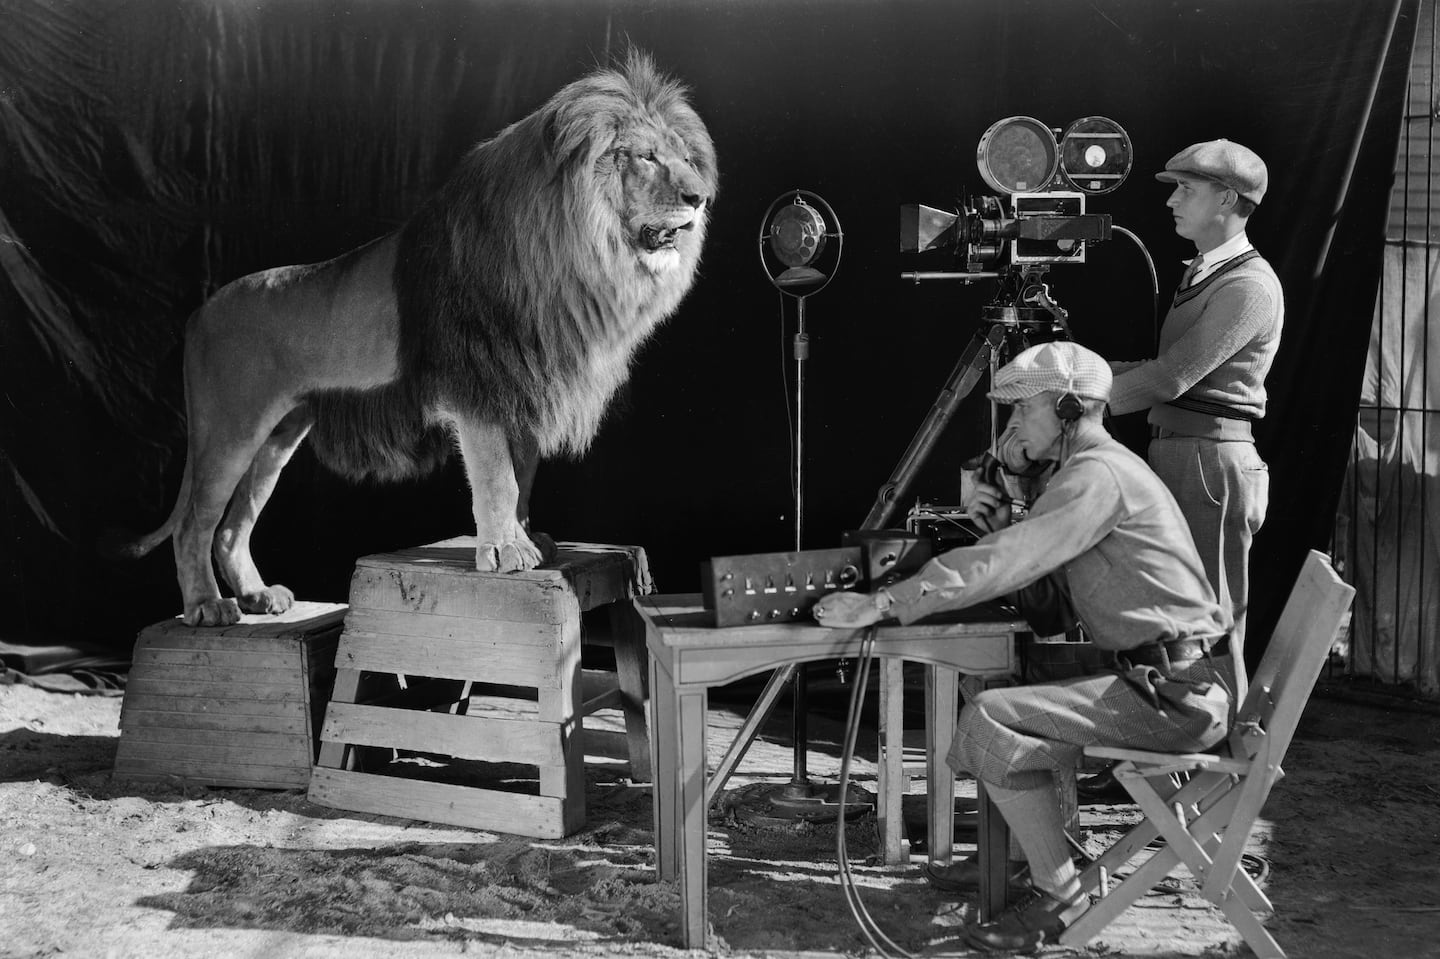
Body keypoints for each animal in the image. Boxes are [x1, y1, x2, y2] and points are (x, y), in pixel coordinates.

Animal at [120, 52, 717, 624]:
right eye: (644, 156)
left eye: (687, 158)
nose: (700, 197)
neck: (567, 255)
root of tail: (199, 313)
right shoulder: (477, 385)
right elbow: (497, 476)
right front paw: (506, 552)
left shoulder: (522, 384)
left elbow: (523, 476)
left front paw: (529, 538)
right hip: (230, 429)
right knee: (194, 524)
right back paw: (207, 607)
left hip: (278, 436)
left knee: (231, 528)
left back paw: (257, 597)